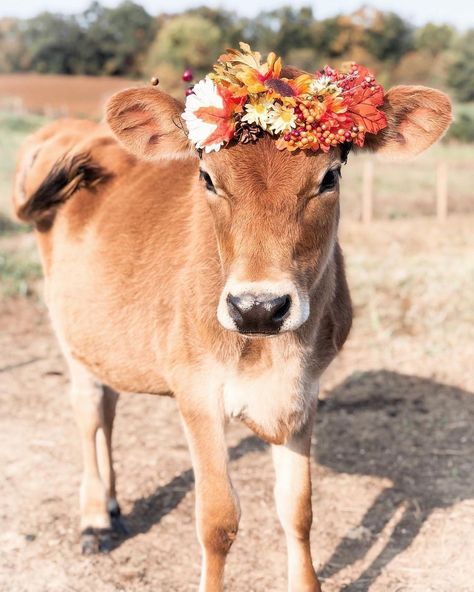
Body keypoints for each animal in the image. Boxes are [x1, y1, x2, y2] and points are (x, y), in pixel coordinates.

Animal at [12, 76, 450, 588]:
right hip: (69, 329)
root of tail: (70, 129)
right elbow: (218, 520)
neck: (272, 354)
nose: (258, 308)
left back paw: (115, 506)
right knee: (87, 411)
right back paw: (96, 518)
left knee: (109, 405)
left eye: (329, 177)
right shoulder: (196, 390)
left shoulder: (304, 392)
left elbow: (298, 509)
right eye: (207, 177)